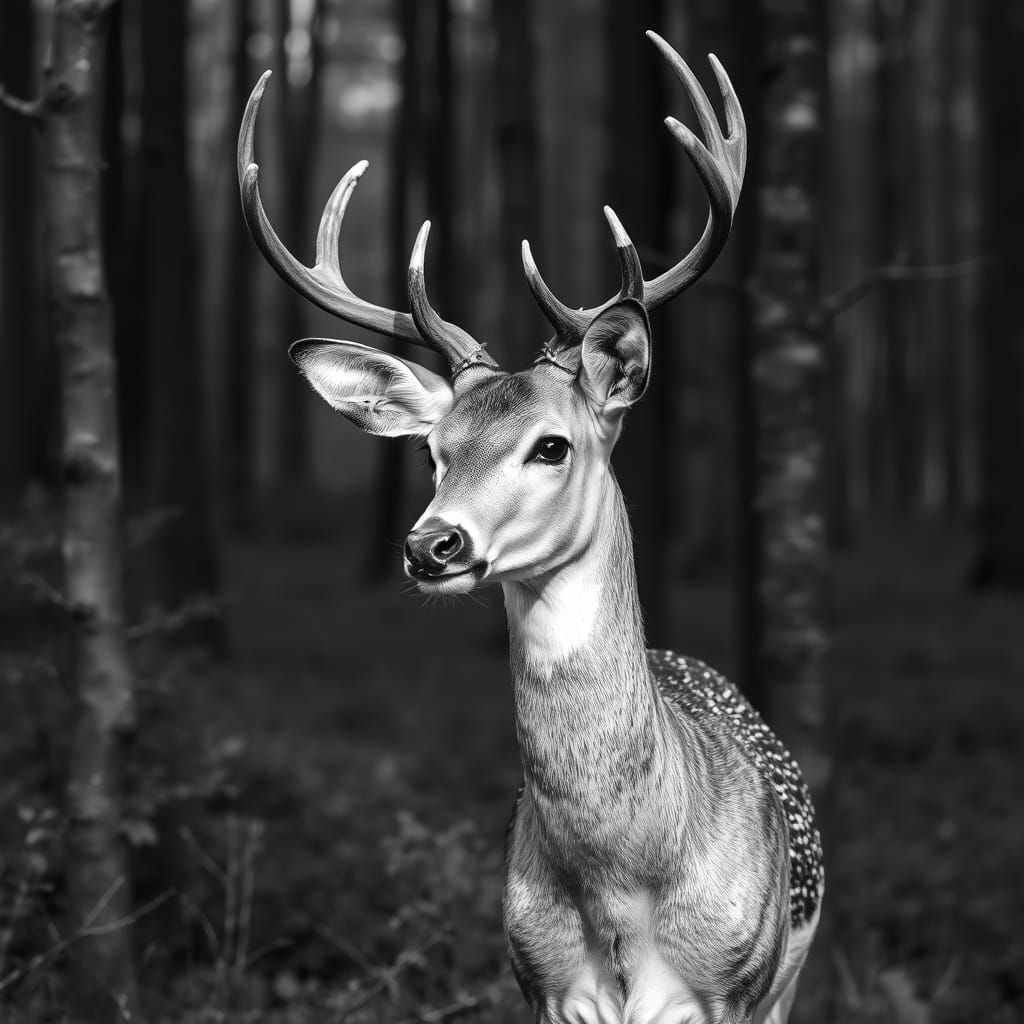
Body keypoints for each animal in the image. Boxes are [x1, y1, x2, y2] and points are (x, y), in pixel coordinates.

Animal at [238, 30, 823, 1024]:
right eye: (434, 452)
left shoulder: (732, 992)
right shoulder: (543, 986)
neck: (624, 891)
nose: (431, 545)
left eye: (553, 446)